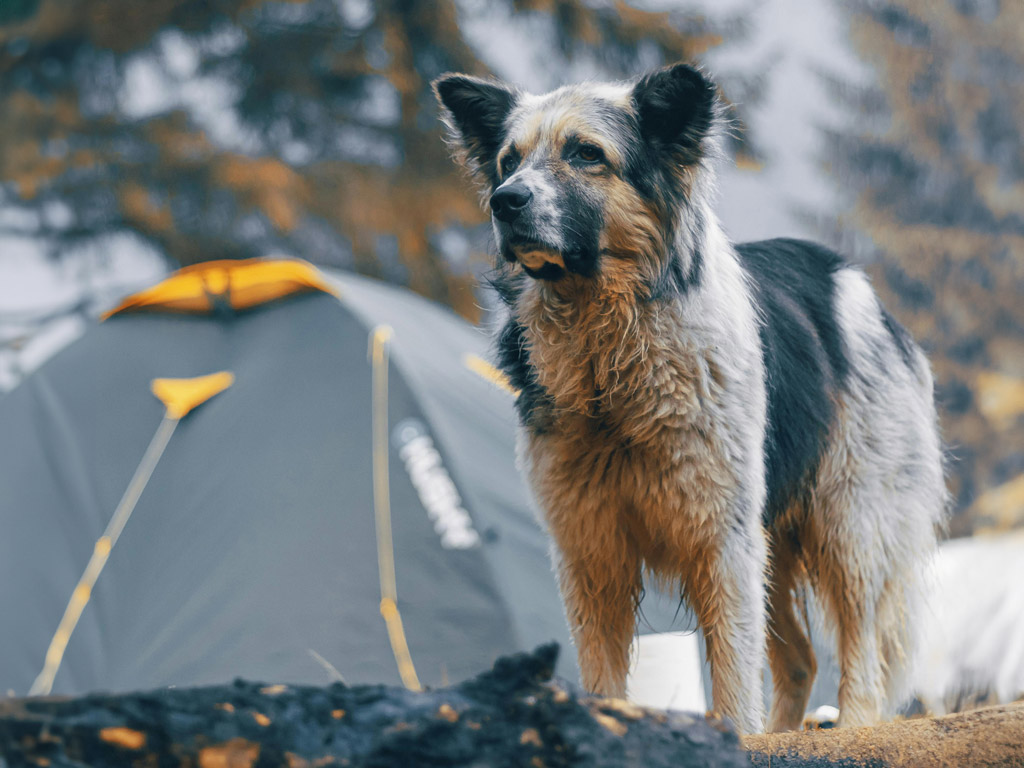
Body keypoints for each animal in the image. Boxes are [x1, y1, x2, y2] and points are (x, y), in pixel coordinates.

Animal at [432, 61, 942, 733]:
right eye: (508, 161)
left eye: (586, 154)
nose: (504, 200)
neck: (610, 361)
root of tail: (855, 282)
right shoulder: (590, 549)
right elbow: (603, 672)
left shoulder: (720, 542)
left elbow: (732, 672)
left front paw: (736, 736)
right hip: (775, 541)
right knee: (800, 660)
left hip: (849, 522)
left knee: (862, 653)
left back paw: (851, 724)